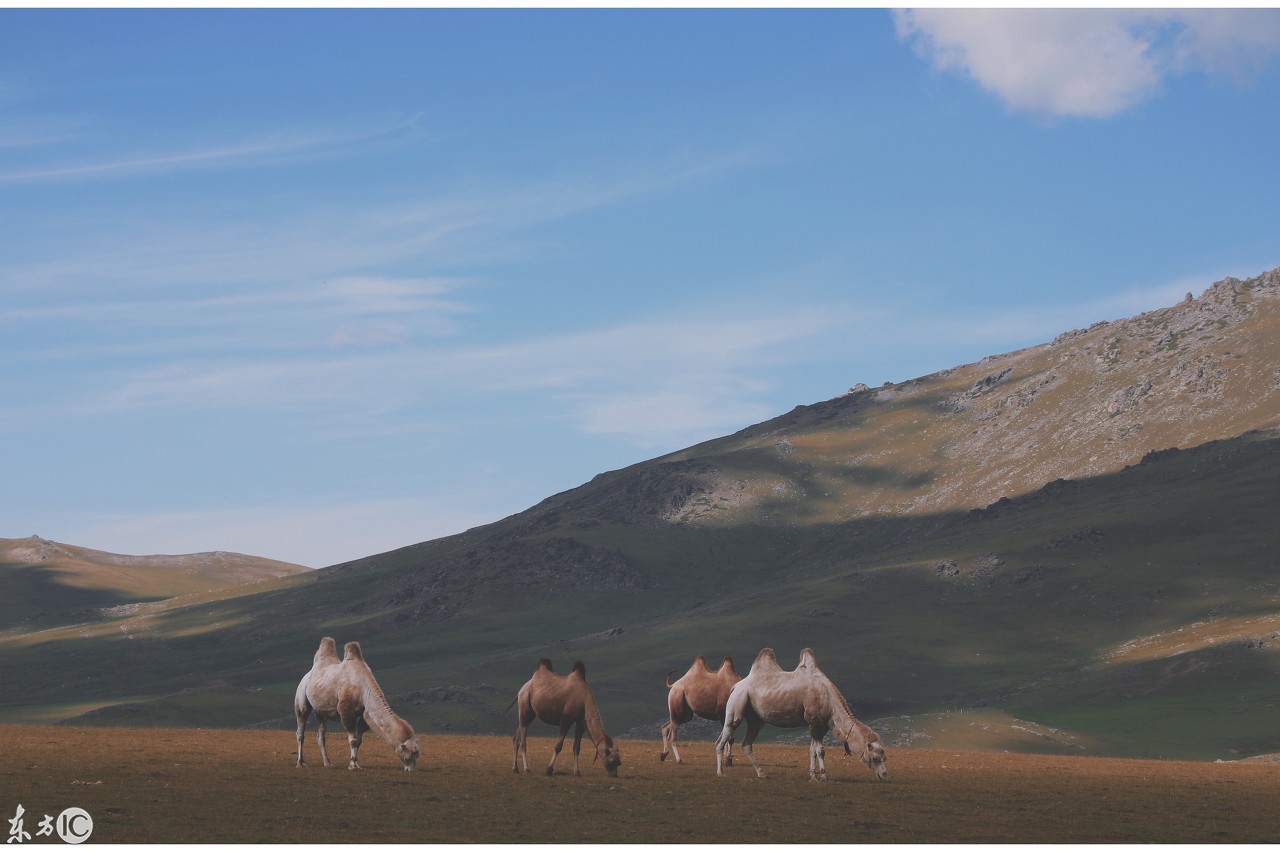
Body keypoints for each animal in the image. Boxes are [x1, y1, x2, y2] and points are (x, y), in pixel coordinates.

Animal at [293, 637, 417, 767]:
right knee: (300, 730)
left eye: (416, 753)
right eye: (409, 754)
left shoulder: (363, 714)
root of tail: (307, 675)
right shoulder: (346, 711)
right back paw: (300, 762)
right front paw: (353, 765)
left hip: (321, 710)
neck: (362, 687)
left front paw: (356, 763)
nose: (411, 768)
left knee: (320, 735)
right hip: (301, 697)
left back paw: (328, 763)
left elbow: (359, 740)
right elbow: (353, 740)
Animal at [711, 647, 890, 777]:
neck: (828, 697)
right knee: (722, 738)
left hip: (755, 718)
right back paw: (720, 772)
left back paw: (761, 773)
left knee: (747, 743)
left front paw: (813, 775)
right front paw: (823, 776)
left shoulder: (820, 724)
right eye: (875, 758)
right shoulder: (814, 719)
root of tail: (735, 686)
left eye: (884, 757)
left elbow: (812, 750)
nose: (884, 774)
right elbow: (820, 751)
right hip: (737, 704)